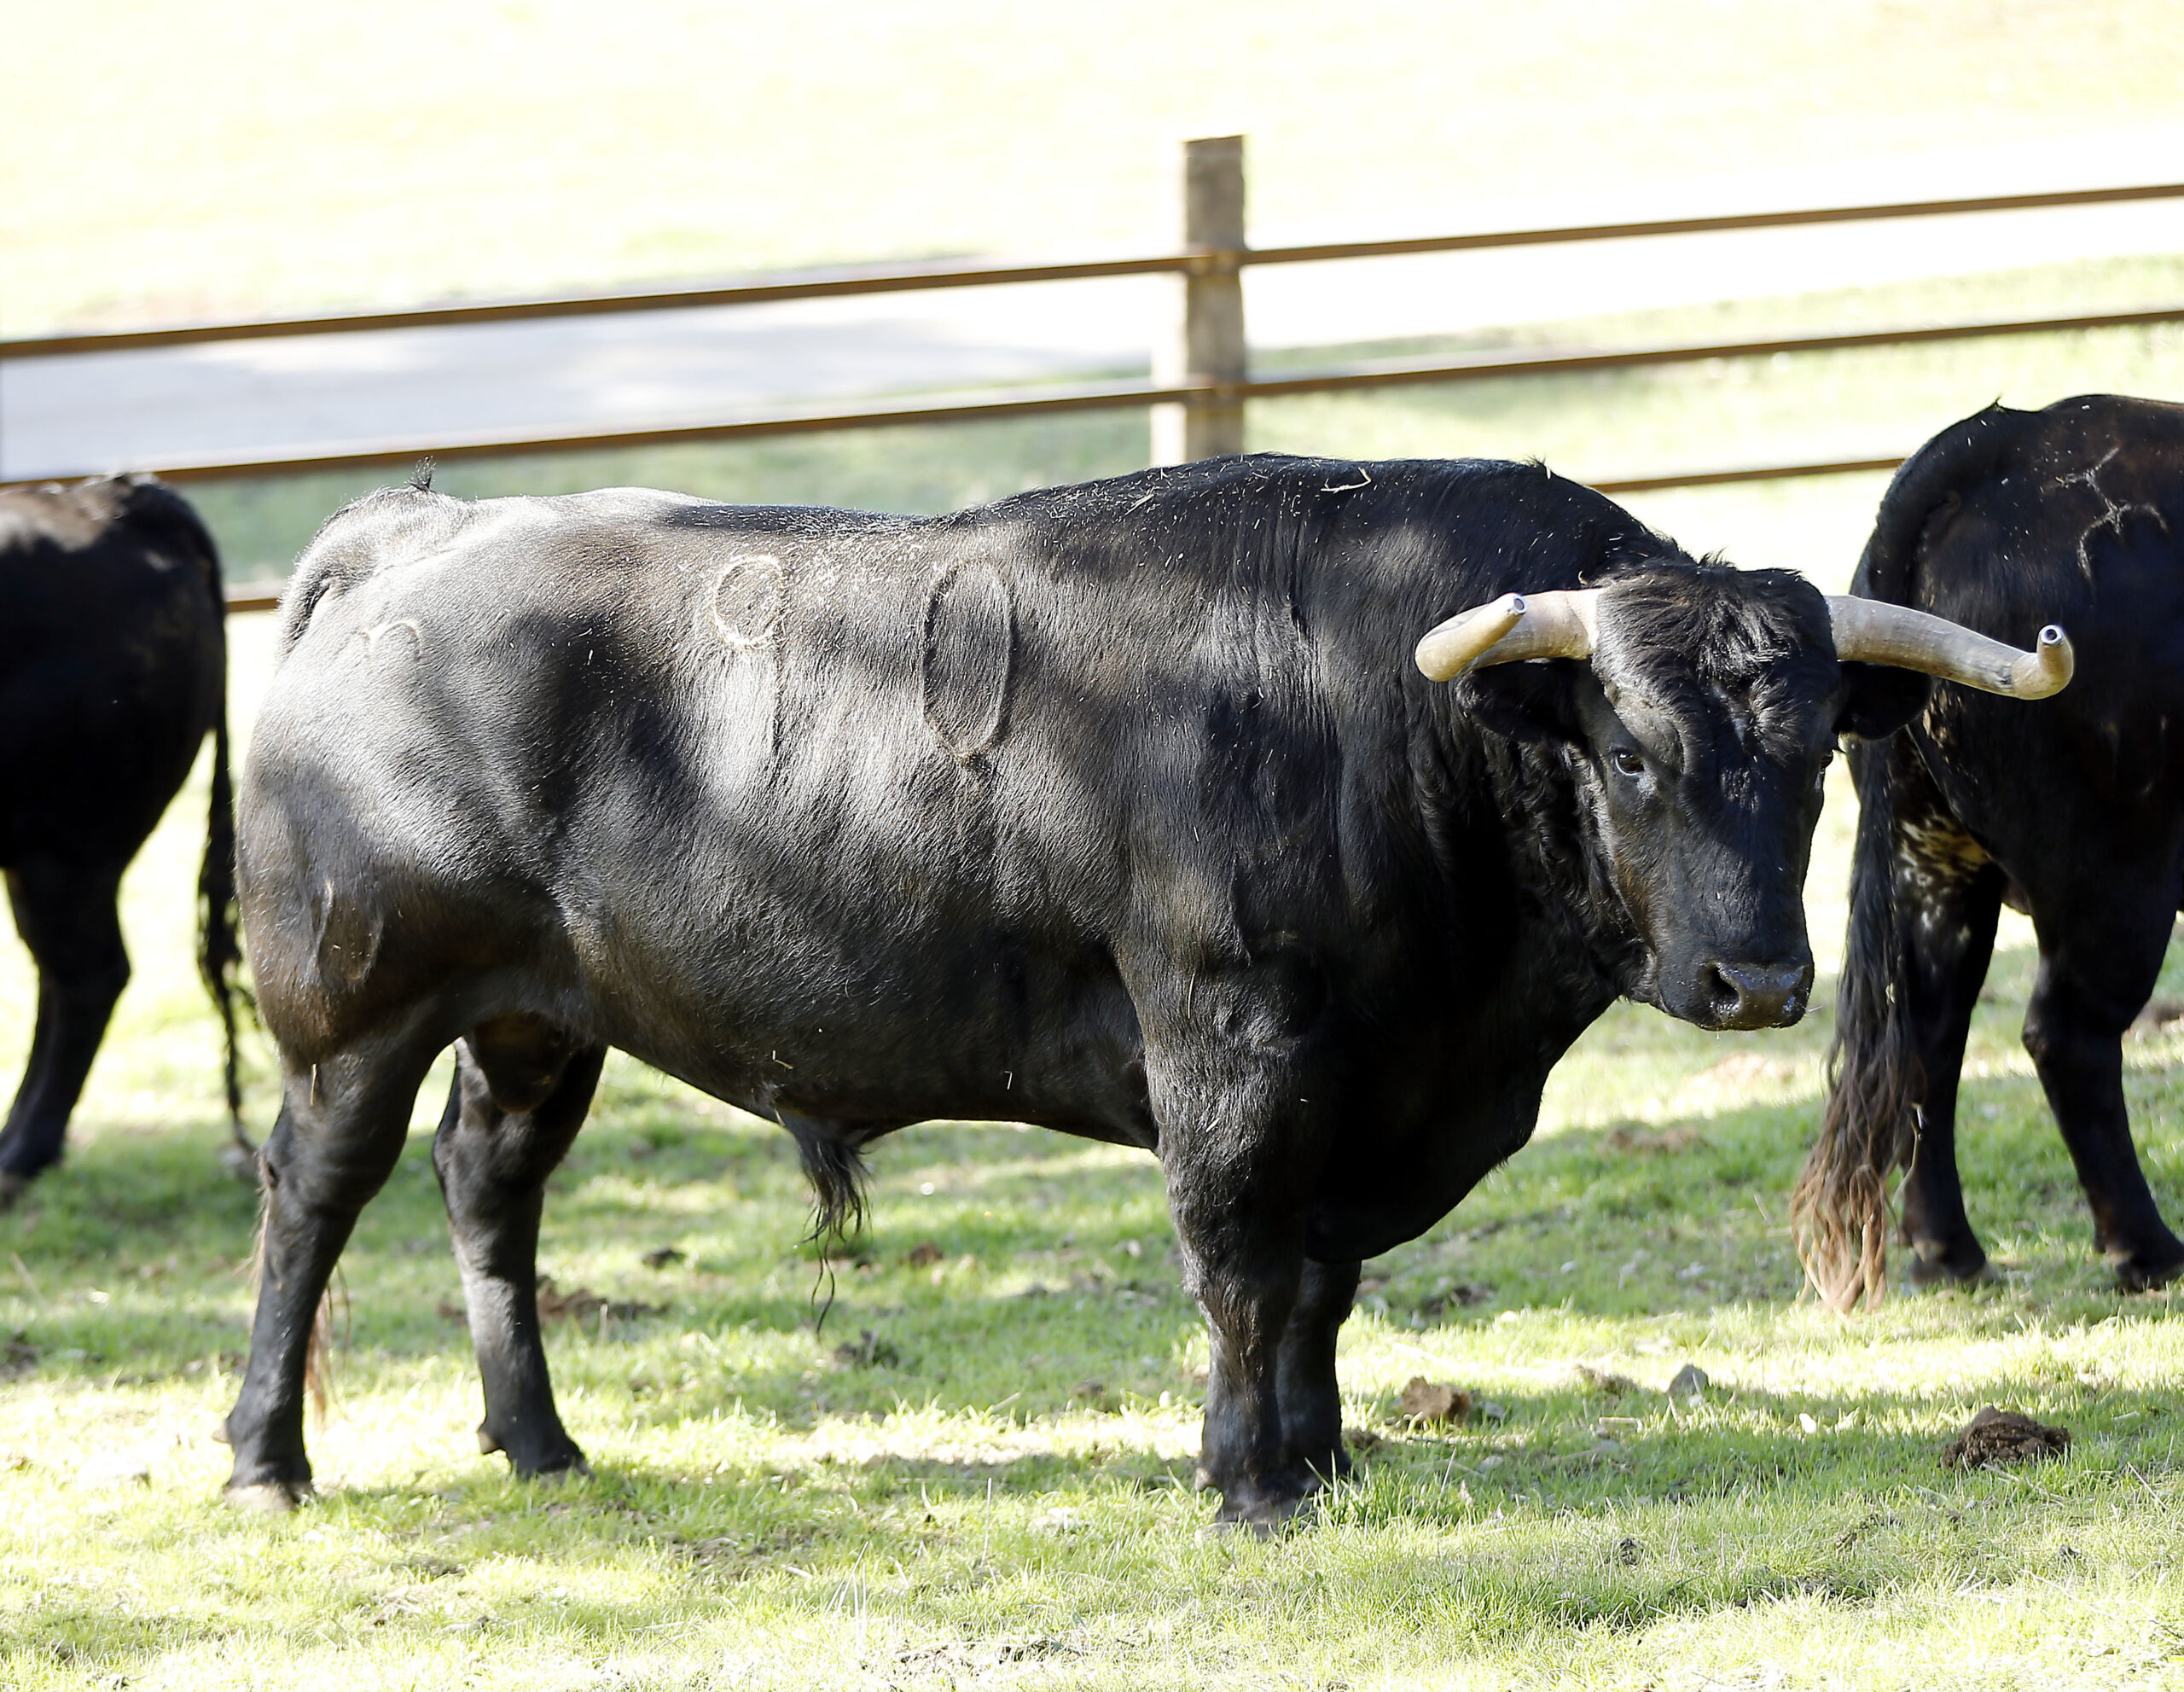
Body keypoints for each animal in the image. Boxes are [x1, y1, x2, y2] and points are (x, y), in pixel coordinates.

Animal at [219, 455, 2065, 1527]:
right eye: (1628, 750)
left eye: (1811, 760)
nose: (1756, 976)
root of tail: (417, 525)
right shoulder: (1230, 1051)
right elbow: (1243, 1262)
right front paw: (1249, 1477)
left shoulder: (1365, 1083)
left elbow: (1316, 1283)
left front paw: (1324, 1450)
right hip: (355, 1011)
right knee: (313, 1201)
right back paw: (265, 1455)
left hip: (537, 1015)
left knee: (490, 1188)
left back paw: (535, 1439)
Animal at [1795, 394, 2184, 1309]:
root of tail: (1997, 443)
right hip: (2118, 879)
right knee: (2066, 1037)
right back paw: (2147, 1249)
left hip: (1933, 866)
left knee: (1929, 1036)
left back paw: (1948, 1248)